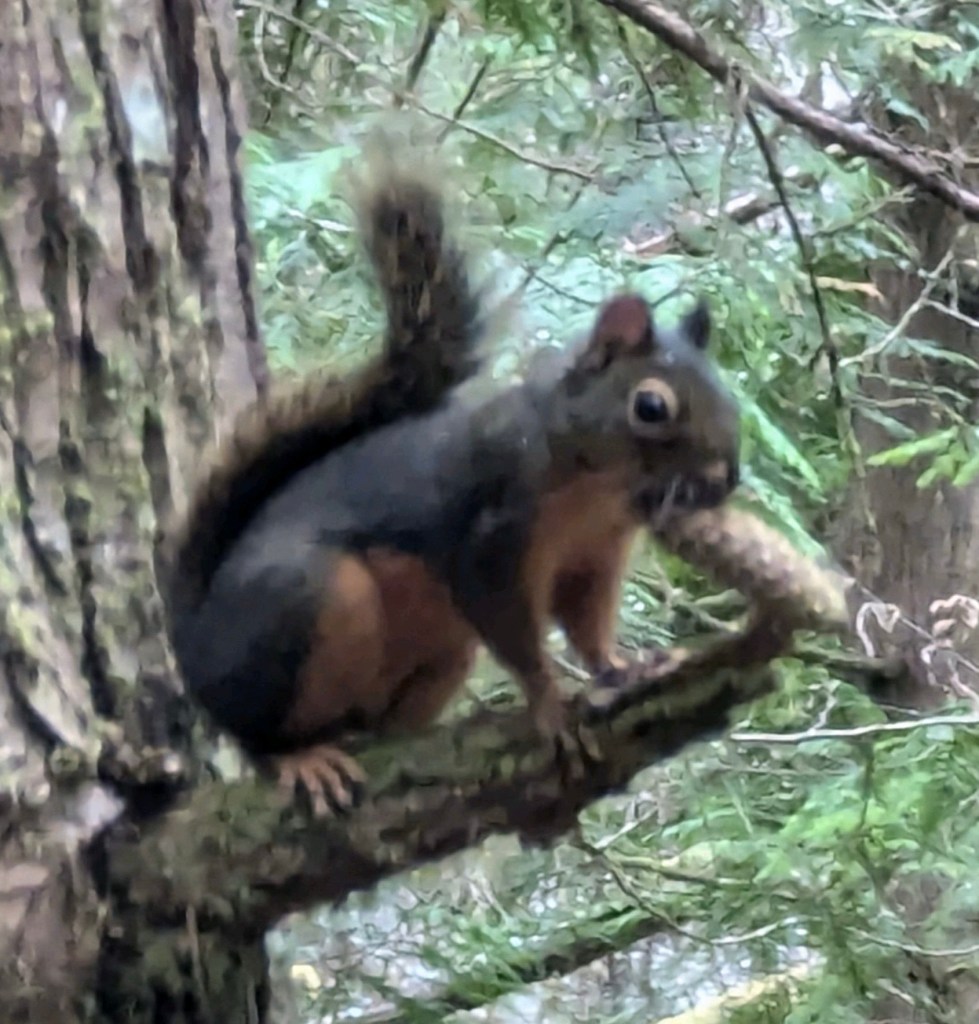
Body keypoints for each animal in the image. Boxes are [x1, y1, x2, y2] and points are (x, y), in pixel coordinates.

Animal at [162, 143, 742, 815]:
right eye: (651, 407)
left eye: (728, 393)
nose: (728, 479)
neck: (594, 488)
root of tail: (192, 643)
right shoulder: (493, 535)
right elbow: (512, 628)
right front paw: (549, 704)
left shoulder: (593, 557)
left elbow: (587, 623)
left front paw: (623, 665)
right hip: (306, 599)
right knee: (252, 731)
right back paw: (298, 757)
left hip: (444, 650)